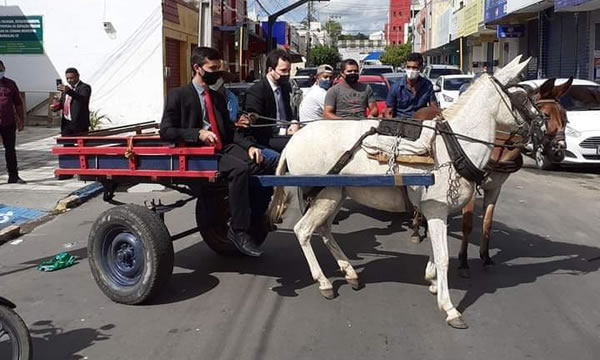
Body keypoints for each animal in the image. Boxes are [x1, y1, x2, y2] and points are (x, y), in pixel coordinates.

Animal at [270, 56, 532, 330]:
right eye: (521, 97)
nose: (539, 129)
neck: (454, 146)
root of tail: (293, 140)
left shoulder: (435, 212)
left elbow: (435, 251)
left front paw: (433, 282)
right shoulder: (436, 209)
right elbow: (443, 257)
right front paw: (449, 307)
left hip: (333, 195)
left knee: (323, 229)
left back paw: (350, 272)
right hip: (325, 195)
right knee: (303, 231)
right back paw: (324, 282)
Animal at [410, 78, 568, 278]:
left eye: (565, 118)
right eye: (545, 116)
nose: (558, 151)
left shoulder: (495, 188)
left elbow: (487, 223)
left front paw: (486, 258)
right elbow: (468, 224)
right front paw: (463, 262)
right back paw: (416, 229)